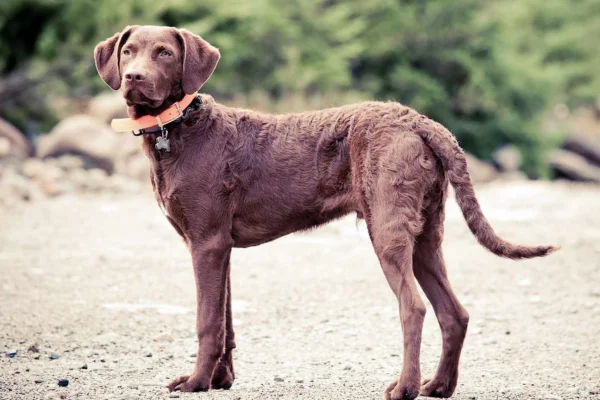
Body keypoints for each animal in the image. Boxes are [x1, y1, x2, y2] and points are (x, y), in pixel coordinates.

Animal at [95, 25, 556, 400]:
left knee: (414, 307)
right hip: (426, 233)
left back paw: (404, 387)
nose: (134, 77)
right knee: (453, 313)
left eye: (164, 53)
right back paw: (439, 386)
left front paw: (195, 383)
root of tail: (419, 121)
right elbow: (225, 319)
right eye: (128, 51)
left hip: (387, 230)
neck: (177, 127)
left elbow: (207, 322)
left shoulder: (206, 243)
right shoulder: (218, 247)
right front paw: (219, 380)